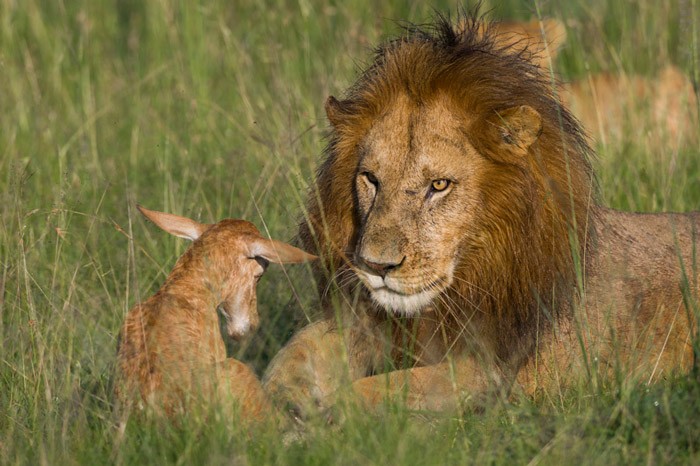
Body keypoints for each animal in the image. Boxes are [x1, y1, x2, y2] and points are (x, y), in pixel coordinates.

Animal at [260, 12, 696, 416]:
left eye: (439, 185)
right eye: (370, 179)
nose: (376, 266)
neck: (477, 264)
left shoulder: (490, 373)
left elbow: (383, 390)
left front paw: (327, 414)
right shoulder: (369, 321)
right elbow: (292, 354)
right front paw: (276, 404)